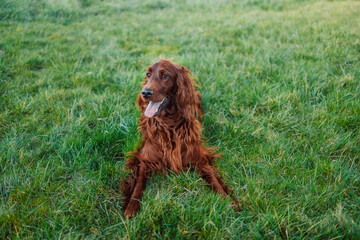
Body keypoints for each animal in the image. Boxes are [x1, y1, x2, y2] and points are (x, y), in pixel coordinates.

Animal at [122, 60, 232, 218]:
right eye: (148, 74)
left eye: (165, 76)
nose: (145, 93)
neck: (169, 124)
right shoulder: (145, 158)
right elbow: (138, 184)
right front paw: (131, 206)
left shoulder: (199, 158)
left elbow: (213, 179)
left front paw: (227, 200)